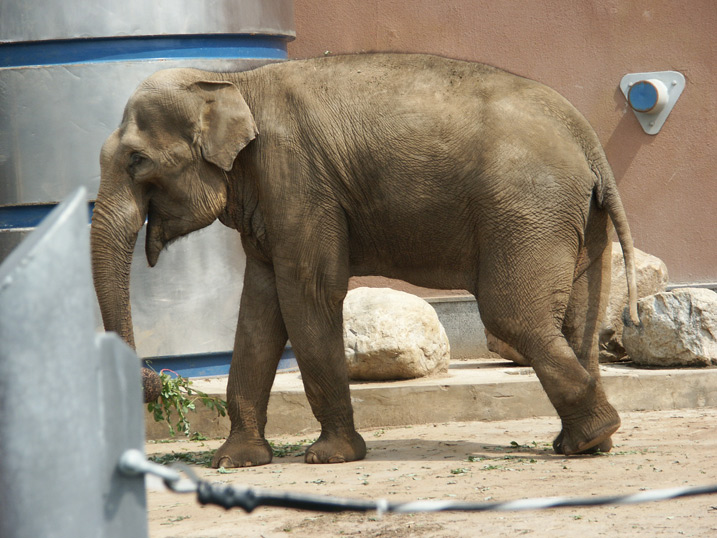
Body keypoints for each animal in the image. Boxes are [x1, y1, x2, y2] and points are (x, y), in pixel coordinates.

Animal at [91, 52, 636, 466]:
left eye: (137, 161)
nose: (154, 384)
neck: (232, 81)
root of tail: (589, 141)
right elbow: (260, 309)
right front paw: (234, 462)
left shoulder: (299, 183)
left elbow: (308, 294)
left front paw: (329, 456)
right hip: (576, 220)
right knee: (578, 321)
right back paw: (585, 443)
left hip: (528, 208)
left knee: (512, 316)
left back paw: (592, 435)